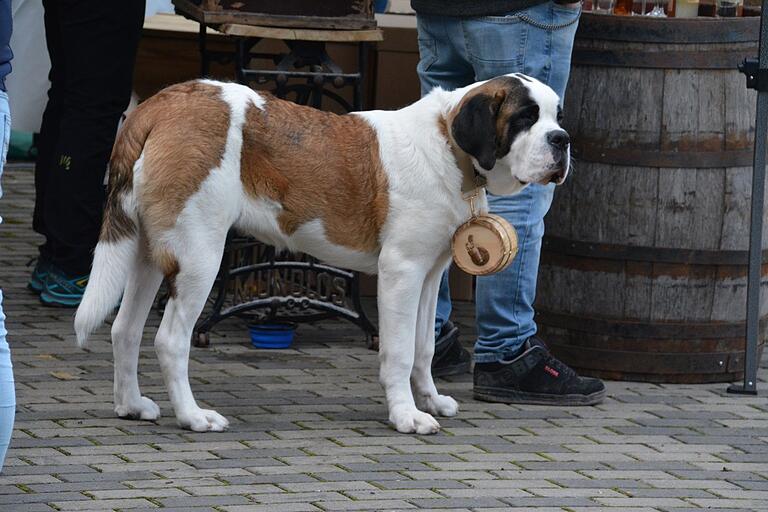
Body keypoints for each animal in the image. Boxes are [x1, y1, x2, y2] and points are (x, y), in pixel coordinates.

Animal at [75, 73, 568, 432]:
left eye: (556, 115)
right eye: (525, 117)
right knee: (169, 339)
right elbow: (399, 351)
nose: (562, 139)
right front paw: (406, 416)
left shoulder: (430, 275)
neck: (448, 143)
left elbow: (424, 346)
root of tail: (162, 103)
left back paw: (132, 406)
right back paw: (194, 417)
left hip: (147, 251)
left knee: (124, 329)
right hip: (199, 254)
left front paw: (430, 401)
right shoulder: (402, 272)